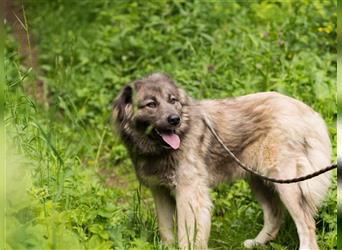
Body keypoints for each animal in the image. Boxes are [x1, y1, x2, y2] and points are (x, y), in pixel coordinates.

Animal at [112, 73, 332, 250]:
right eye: (151, 104)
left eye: (172, 100)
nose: (175, 119)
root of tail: (306, 111)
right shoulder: (160, 192)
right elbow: (165, 228)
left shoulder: (189, 194)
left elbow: (187, 234)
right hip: (259, 181)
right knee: (275, 215)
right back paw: (257, 243)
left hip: (287, 185)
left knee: (306, 225)